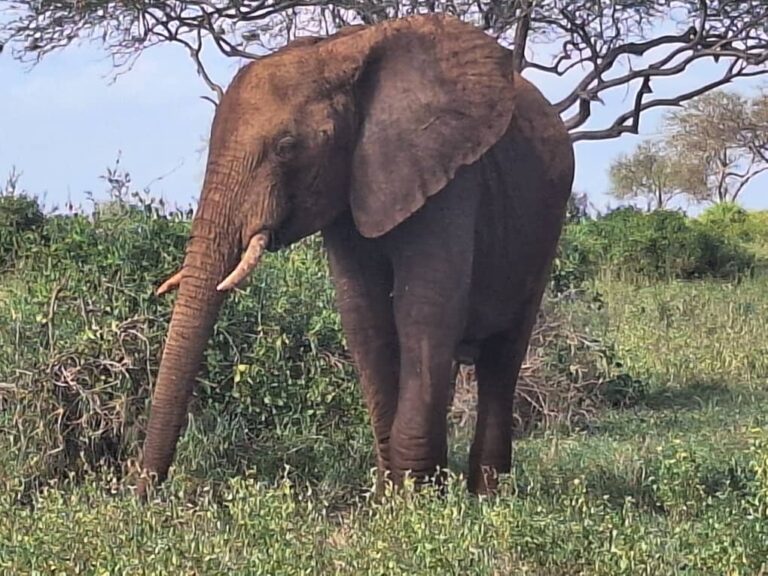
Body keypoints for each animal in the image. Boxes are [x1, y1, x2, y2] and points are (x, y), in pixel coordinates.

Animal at [137, 13, 574, 498]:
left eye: (286, 147)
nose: (141, 495)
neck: (340, 55)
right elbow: (364, 316)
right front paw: (392, 499)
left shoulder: (454, 176)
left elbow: (424, 310)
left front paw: (418, 502)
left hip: (545, 227)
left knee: (503, 357)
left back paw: (487, 497)